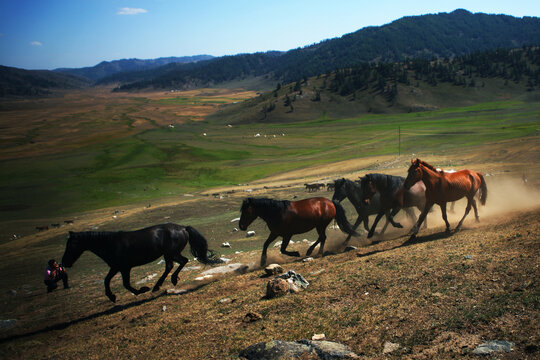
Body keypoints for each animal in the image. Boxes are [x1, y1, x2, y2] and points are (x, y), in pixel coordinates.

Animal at [60, 224, 217, 302]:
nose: (64, 263)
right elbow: (106, 280)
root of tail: (183, 228)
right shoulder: (115, 267)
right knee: (176, 264)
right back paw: (163, 284)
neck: (110, 244)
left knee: (176, 264)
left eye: (71, 245)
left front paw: (142, 290)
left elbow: (125, 284)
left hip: (170, 253)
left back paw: (160, 285)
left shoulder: (124, 267)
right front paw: (112, 297)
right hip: (170, 254)